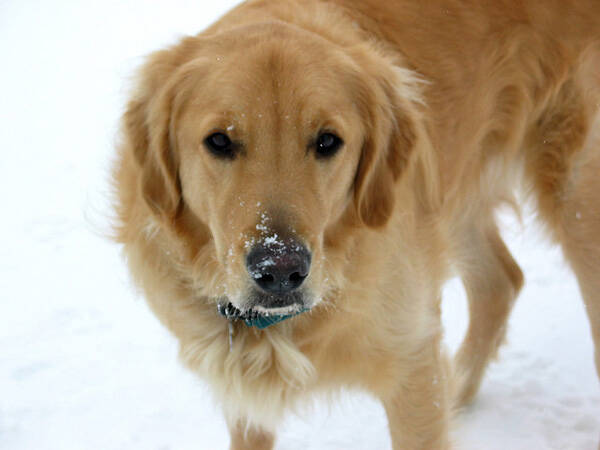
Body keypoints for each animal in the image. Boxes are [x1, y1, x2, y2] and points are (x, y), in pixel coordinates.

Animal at [111, 1, 600, 448]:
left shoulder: (412, 365)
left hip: (576, 196)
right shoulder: (246, 397)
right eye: (219, 141)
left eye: (328, 141)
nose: (281, 271)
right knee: (501, 279)